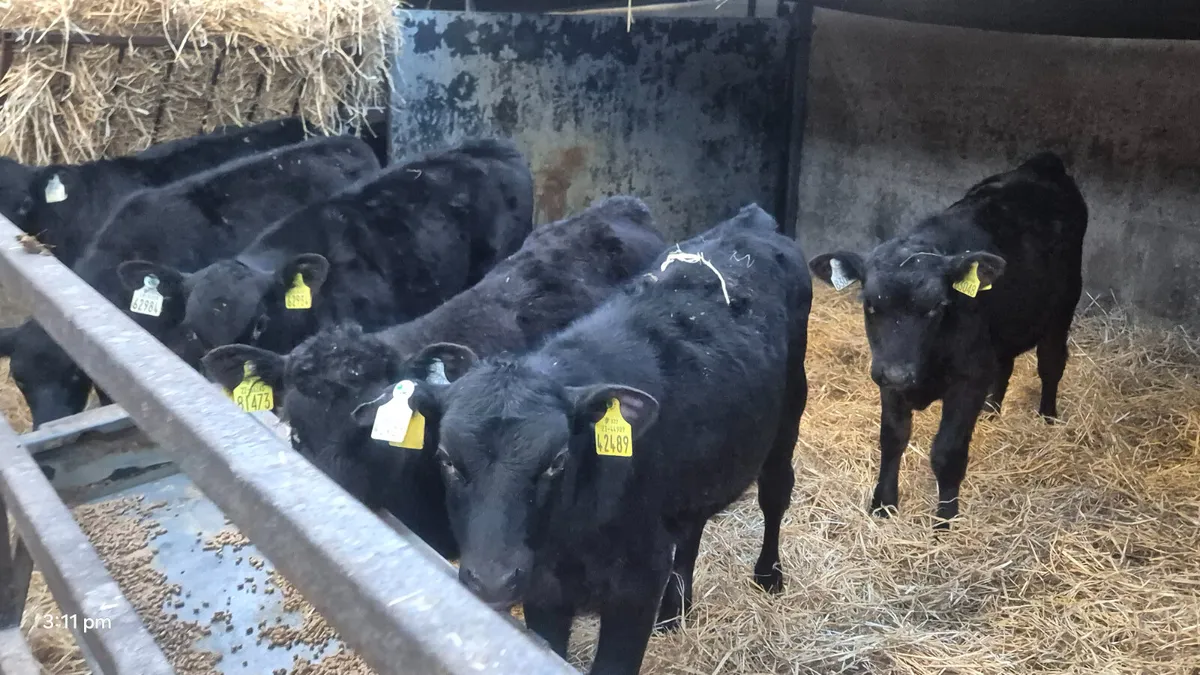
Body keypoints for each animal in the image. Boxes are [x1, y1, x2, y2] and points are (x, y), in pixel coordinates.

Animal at [382, 205, 810, 675]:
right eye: (446, 458)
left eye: (556, 460)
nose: (492, 580)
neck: (571, 535)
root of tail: (750, 220)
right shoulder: (544, 589)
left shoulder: (637, 584)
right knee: (693, 526)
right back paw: (675, 609)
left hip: (789, 411)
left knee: (775, 492)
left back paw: (769, 575)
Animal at [808, 151, 1088, 529]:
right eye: (869, 304)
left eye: (937, 307)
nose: (898, 373)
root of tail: (1043, 163)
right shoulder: (889, 379)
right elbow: (892, 439)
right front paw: (883, 504)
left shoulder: (967, 379)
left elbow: (947, 451)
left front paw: (945, 520)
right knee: (1005, 365)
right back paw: (992, 410)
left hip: (1062, 309)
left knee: (1051, 364)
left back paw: (1047, 416)